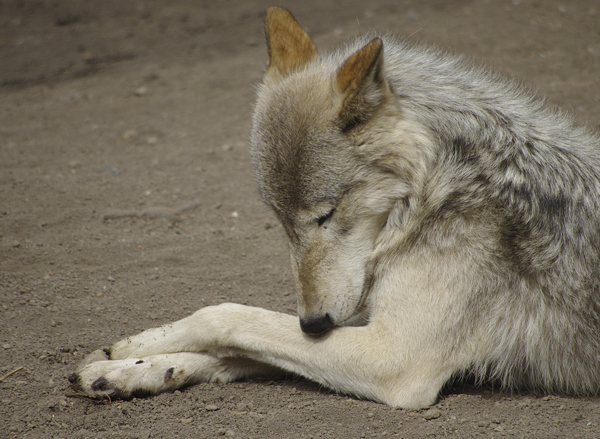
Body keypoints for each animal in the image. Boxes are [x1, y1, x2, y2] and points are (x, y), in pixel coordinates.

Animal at [70, 6, 600, 410]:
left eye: (325, 216)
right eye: (281, 224)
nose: (314, 323)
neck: (439, 188)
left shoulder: (394, 357)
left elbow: (224, 316)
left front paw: (144, 350)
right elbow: (235, 346)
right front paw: (131, 366)